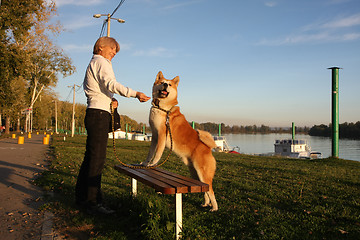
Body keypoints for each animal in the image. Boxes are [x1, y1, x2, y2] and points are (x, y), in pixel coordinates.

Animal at [142, 71, 218, 212]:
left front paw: (152, 164)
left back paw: (214, 207)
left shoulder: (161, 135)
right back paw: (206, 203)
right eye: (162, 82)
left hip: (203, 172)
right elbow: (150, 153)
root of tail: (208, 148)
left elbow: (157, 154)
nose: (165, 85)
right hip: (195, 173)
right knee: (204, 189)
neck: (162, 108)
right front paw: (145, 163)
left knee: (210, 190)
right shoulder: (154, 136)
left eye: (169, 84)